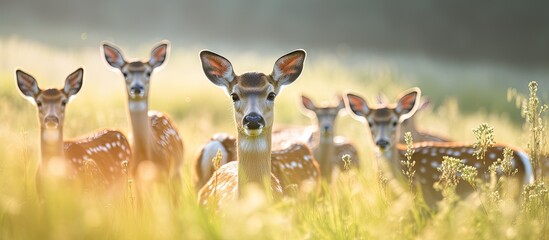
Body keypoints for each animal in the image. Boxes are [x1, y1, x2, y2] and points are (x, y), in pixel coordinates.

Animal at [104, 40, 185, 191]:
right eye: (125, 73)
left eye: (148, 72)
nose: (137, 88)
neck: (148, 154)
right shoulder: (136, 179)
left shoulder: (167, 173)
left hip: (176, 171)